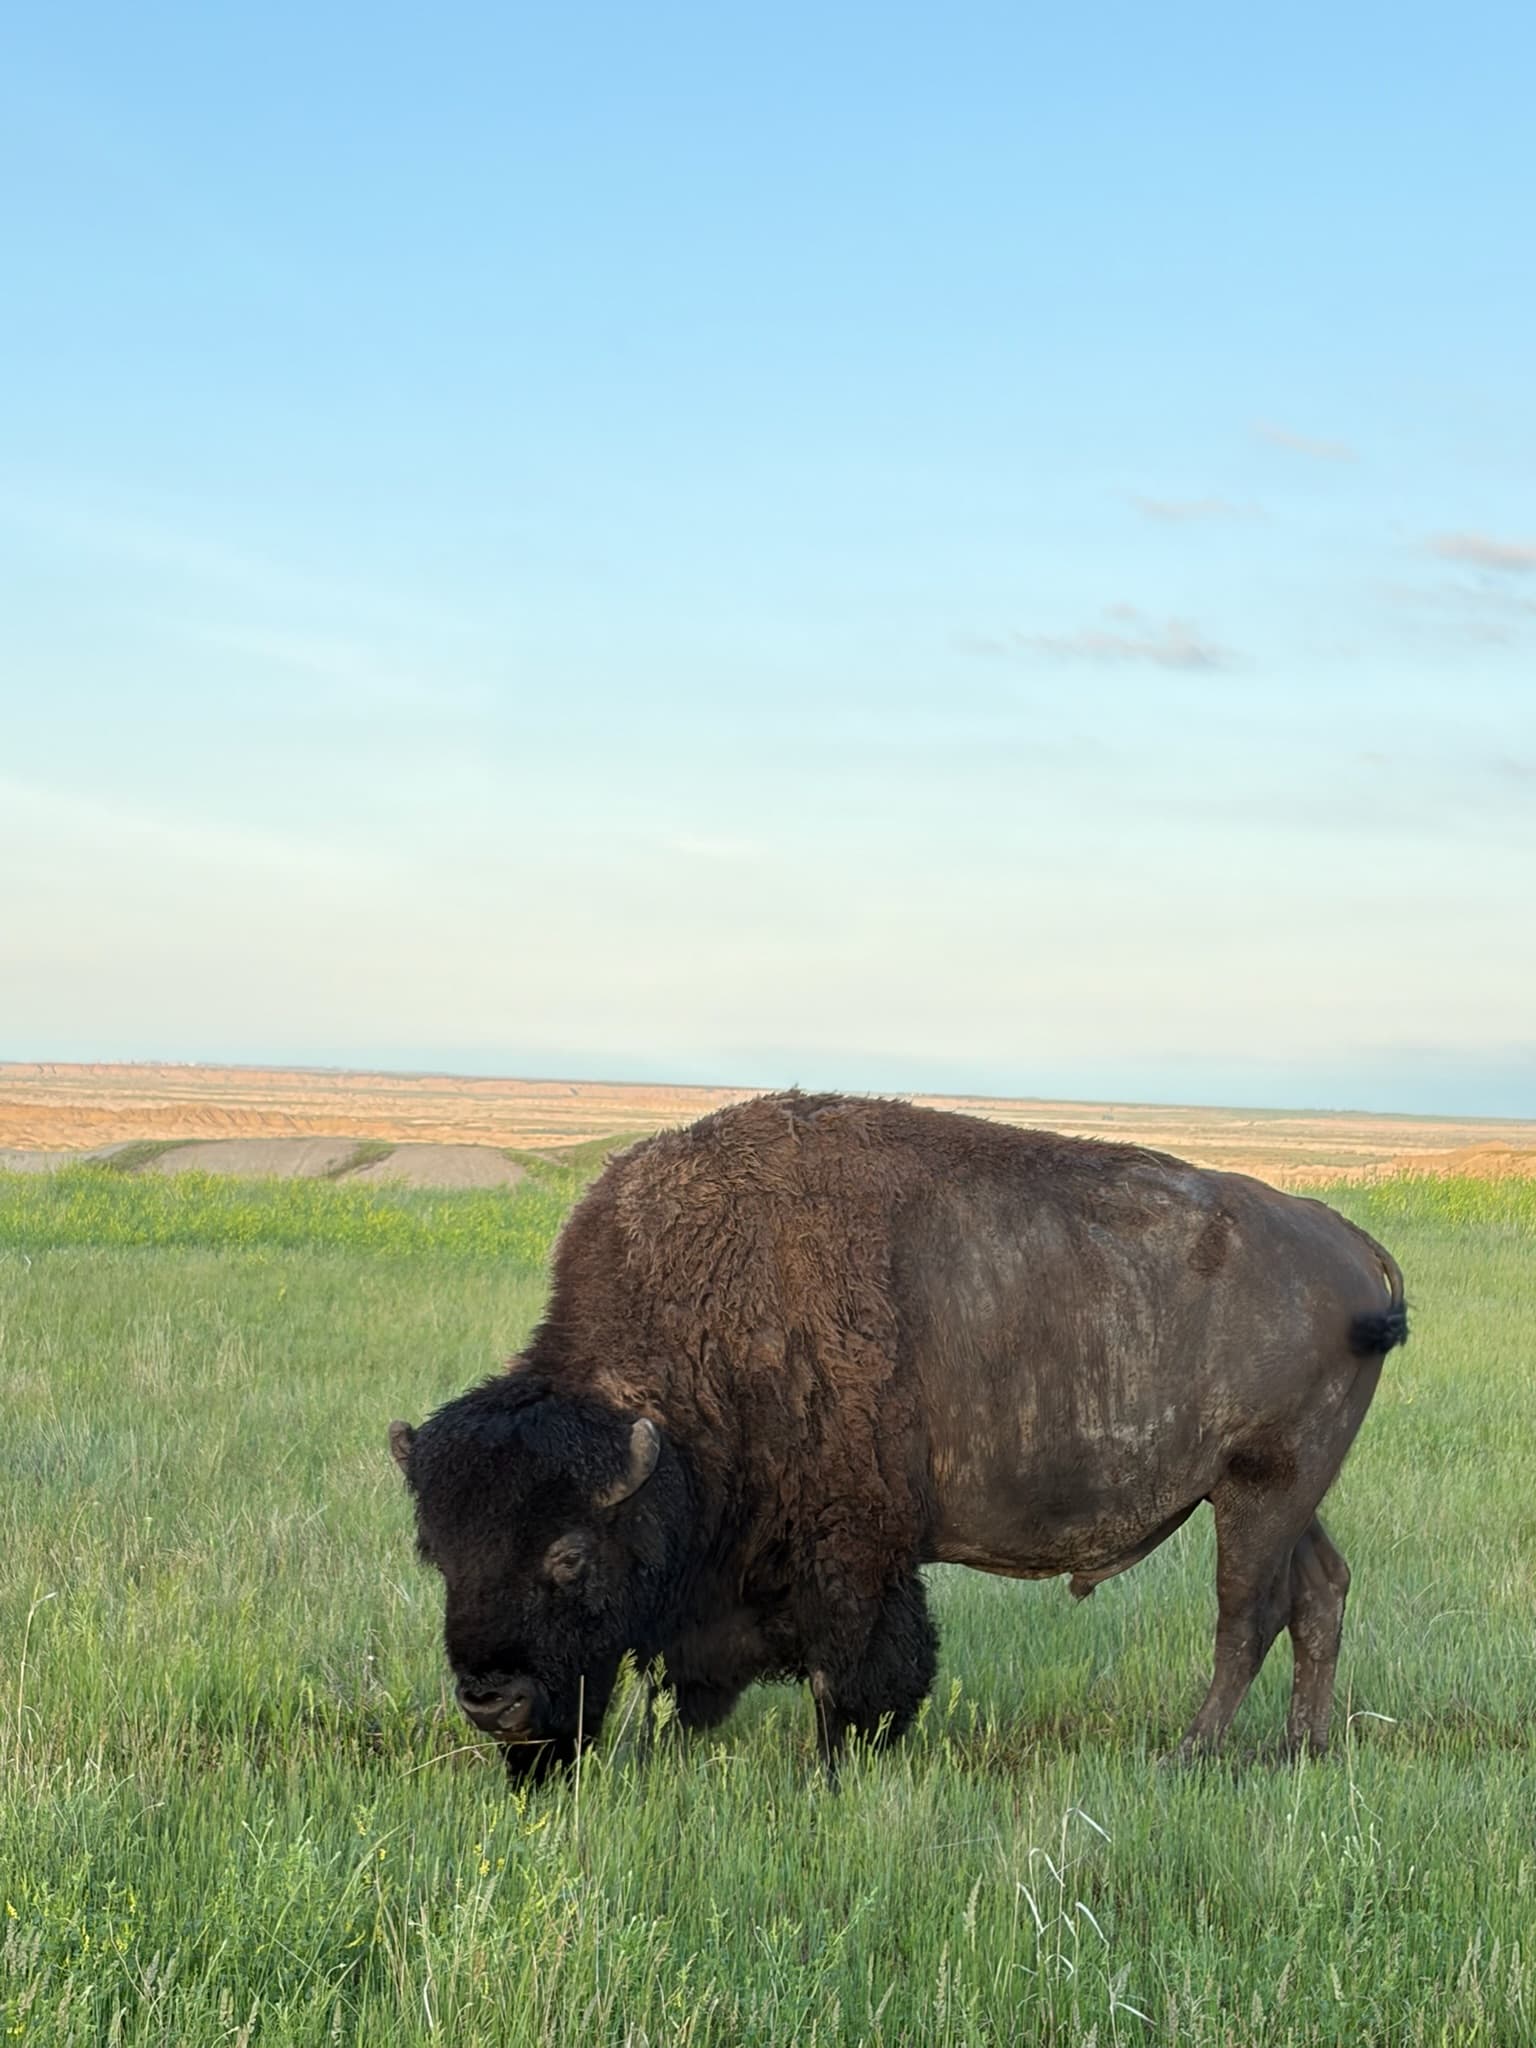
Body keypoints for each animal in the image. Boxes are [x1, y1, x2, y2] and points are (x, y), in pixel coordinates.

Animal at [389, 1091, 1405, 1779]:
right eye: (436, 1553)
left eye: (566, 1554)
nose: (490, 1700)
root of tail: (1352, 1242)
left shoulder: (853, 1552)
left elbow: (857, 1667)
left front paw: (838, 1764)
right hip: (1279, 1490)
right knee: (1320, 1591)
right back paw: (1304, 1751)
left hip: (1259, 1487)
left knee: (1247, 1615)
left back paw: (1188, 1754)